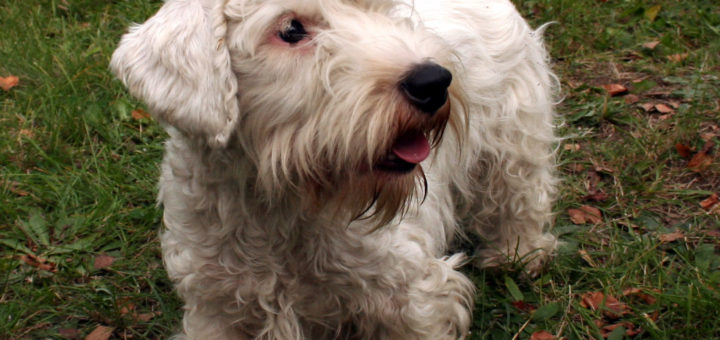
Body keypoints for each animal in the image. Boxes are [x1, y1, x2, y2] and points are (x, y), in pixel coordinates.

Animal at [112, 0, 560, 338]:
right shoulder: (220, 307)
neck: (281, 207)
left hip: (513, 138)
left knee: (519, 196)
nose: (433, 81)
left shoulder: (410, 299)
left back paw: (518, 255)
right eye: (291, 29)